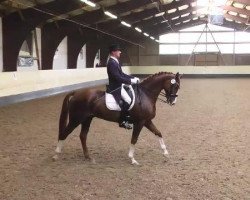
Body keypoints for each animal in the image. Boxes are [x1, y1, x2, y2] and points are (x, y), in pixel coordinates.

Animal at [53, 71, 182, 164]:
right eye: (175, 85)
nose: (173, 102)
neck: (146, 94)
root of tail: (76, 93)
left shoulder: (147, 121)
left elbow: (158, 133)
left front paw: (166, 153)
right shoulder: (139, 122)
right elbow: (134, 139)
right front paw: (132, 159)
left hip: (87, 119)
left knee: (83, 136)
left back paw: (88, 157)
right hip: (76, 119)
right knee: (64, 133)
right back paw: (56, 154)